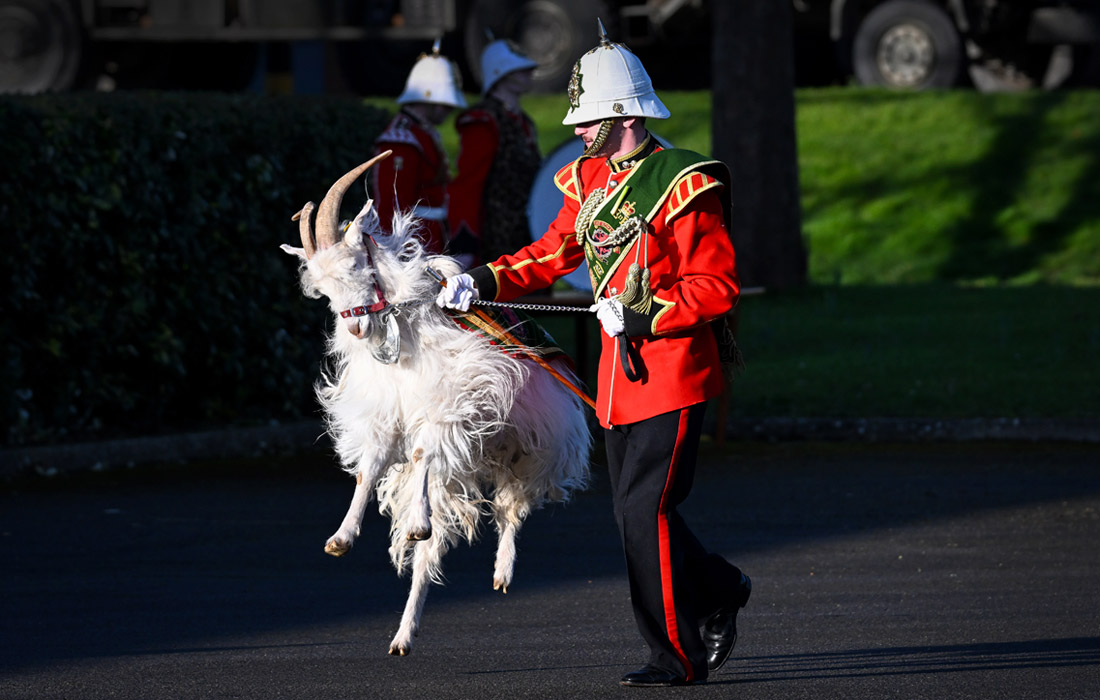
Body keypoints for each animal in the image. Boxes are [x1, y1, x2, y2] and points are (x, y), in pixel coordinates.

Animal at [283, 152, 594, 655]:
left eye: (358, 266)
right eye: (324, 291)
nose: (354, 328)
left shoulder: (452, 402)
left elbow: (421, 450)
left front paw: (413, 522)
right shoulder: (385, 416)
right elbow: (370, 469)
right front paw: (341, 537)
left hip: (531, 445)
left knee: (512, 507)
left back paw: (499, 569)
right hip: (466, 471)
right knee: (430, 553)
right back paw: (404, 633)